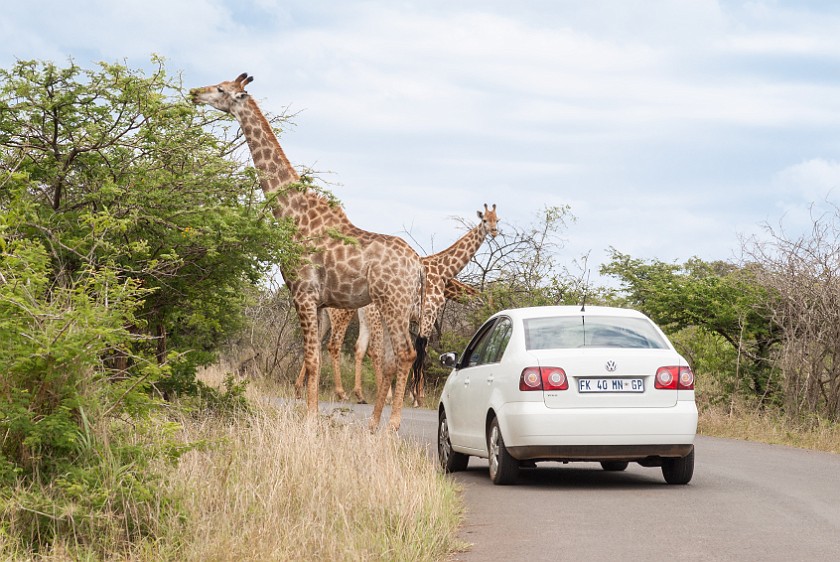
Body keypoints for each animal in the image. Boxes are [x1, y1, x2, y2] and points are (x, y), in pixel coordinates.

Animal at [193, 71, 424, 428]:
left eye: (220, 89)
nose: (194, 92)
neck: (292, 212)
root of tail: (418, 266)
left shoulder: (302, 293)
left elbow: (313, 358)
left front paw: (309, 422)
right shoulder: (316, 302)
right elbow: (312, 358)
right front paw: (310, 414)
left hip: (394, 303)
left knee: (405, 353)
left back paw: (391, 426)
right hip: (389, 306)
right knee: (389, 358)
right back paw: (373, 426)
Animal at [314, 206, 498, 402]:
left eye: (497, 219)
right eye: (485, 220)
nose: (495, 231)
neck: (442, 271)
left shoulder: (417, 319)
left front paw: (415, 393)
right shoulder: (428, 315)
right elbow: (421, 352)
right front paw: (416, 396)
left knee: (348, 346)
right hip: (358, 315)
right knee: (362, 349)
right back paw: (360, 394)